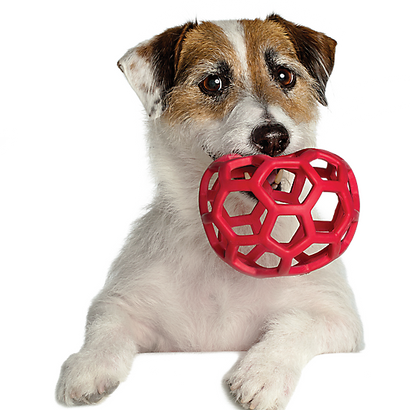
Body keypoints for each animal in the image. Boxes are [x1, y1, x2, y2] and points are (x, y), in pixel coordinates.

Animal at [55, 13, 366, 410]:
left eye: (284, 76)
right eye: (212, 82)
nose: (273, 137)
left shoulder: (339, 319)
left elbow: (299, 324)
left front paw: (264, 372)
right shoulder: (127, 305)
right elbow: (106, 325)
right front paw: (89, 365)